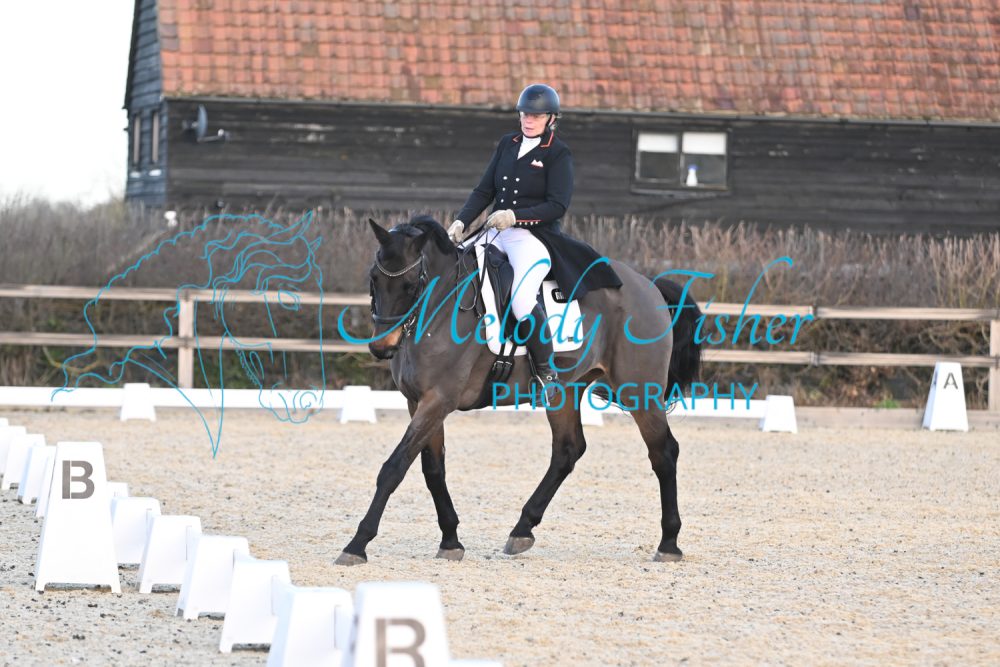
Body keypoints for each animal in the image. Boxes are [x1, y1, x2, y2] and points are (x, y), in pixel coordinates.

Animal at [334, 215, 702, 565]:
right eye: (374, 278)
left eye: (411, 284)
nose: (382, 347)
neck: (439, 309)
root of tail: (648, 285)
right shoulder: (419, 402)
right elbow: (432, 470)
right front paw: (450, 540)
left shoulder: (438, 399)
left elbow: (394, 468)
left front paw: (357, 544)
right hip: (565, 391)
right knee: (567, 450)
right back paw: (522, 529)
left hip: (639, 391)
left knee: (663, 453)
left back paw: (669, 543)